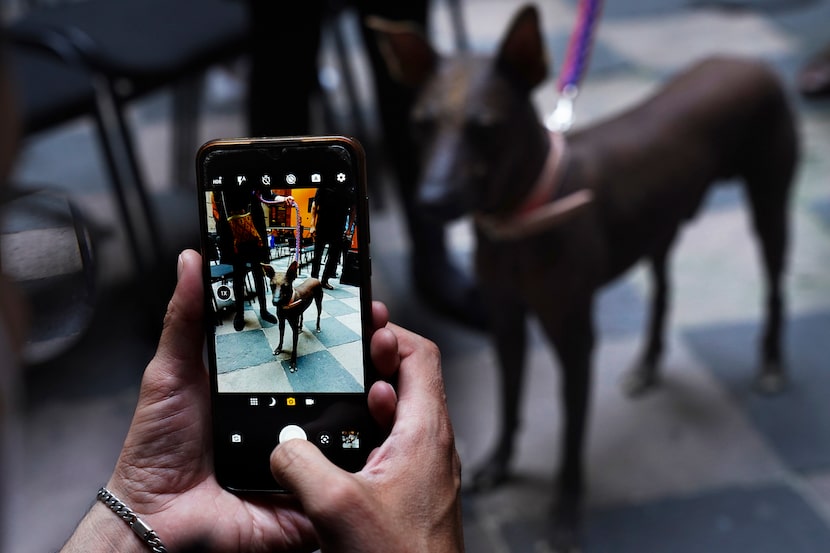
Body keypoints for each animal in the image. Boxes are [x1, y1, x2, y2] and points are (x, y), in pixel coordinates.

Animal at [376, 4, 800, 548]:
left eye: (485, 127)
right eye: (420, 125)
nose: (429, 202)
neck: (519, 219)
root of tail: (746, 60)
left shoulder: (575, 340)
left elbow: (571, 435)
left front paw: (564, 512)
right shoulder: (506, 324)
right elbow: (508, 400)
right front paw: (498, 464)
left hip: (769, 205)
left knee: (776, 289)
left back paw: (771, 362)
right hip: (659, 226)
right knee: (662, 291)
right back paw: (648, 363)